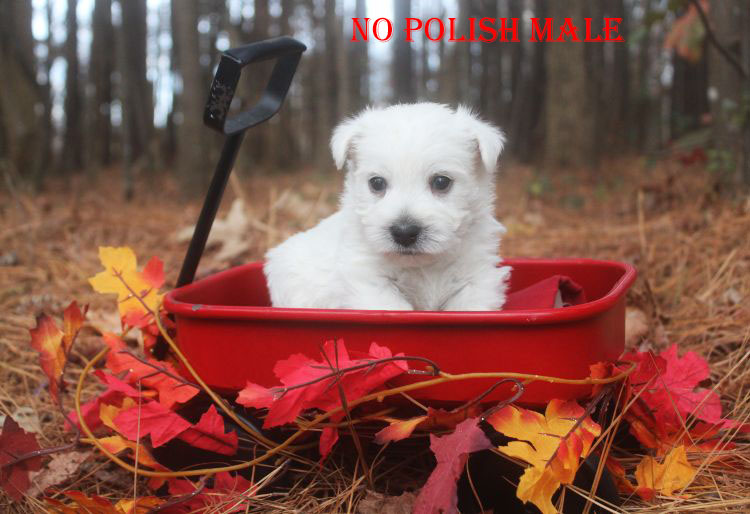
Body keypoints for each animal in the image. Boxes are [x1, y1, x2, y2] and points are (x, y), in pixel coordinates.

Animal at [263, 103, 510, 311]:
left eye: (441, 182)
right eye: (377, 183)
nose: (404, 232)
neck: (423, 266)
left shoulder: (477, 280)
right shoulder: (370, 280)